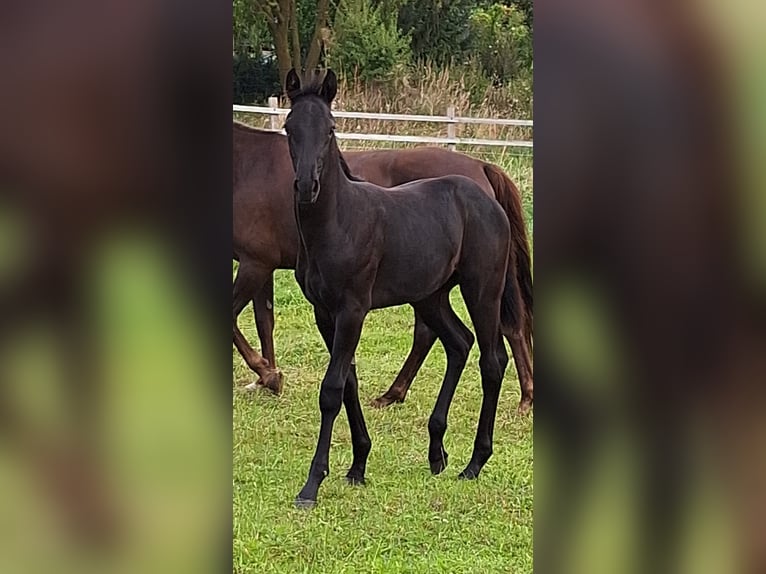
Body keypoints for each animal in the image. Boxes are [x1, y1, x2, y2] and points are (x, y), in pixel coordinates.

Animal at [234, 127, 536, 414]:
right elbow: (264, 321)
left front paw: (267, 375)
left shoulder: (255, 265)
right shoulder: (262, 266)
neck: (249, 165)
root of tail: (480, 166)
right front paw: (267, 376)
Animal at [284, 68, 524, 508]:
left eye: (330, 128)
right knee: (459, 343)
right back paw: (437, 452)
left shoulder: (353, 309)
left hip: (483, 289)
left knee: (492, 359)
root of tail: (487, 196)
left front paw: (312, 484)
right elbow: (349, 382)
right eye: (290, 127)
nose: (307, 186)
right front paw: (358, 466)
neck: (338, 222)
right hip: (431, 296)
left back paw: (474, 462)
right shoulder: (324, 313)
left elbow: (331, 388)